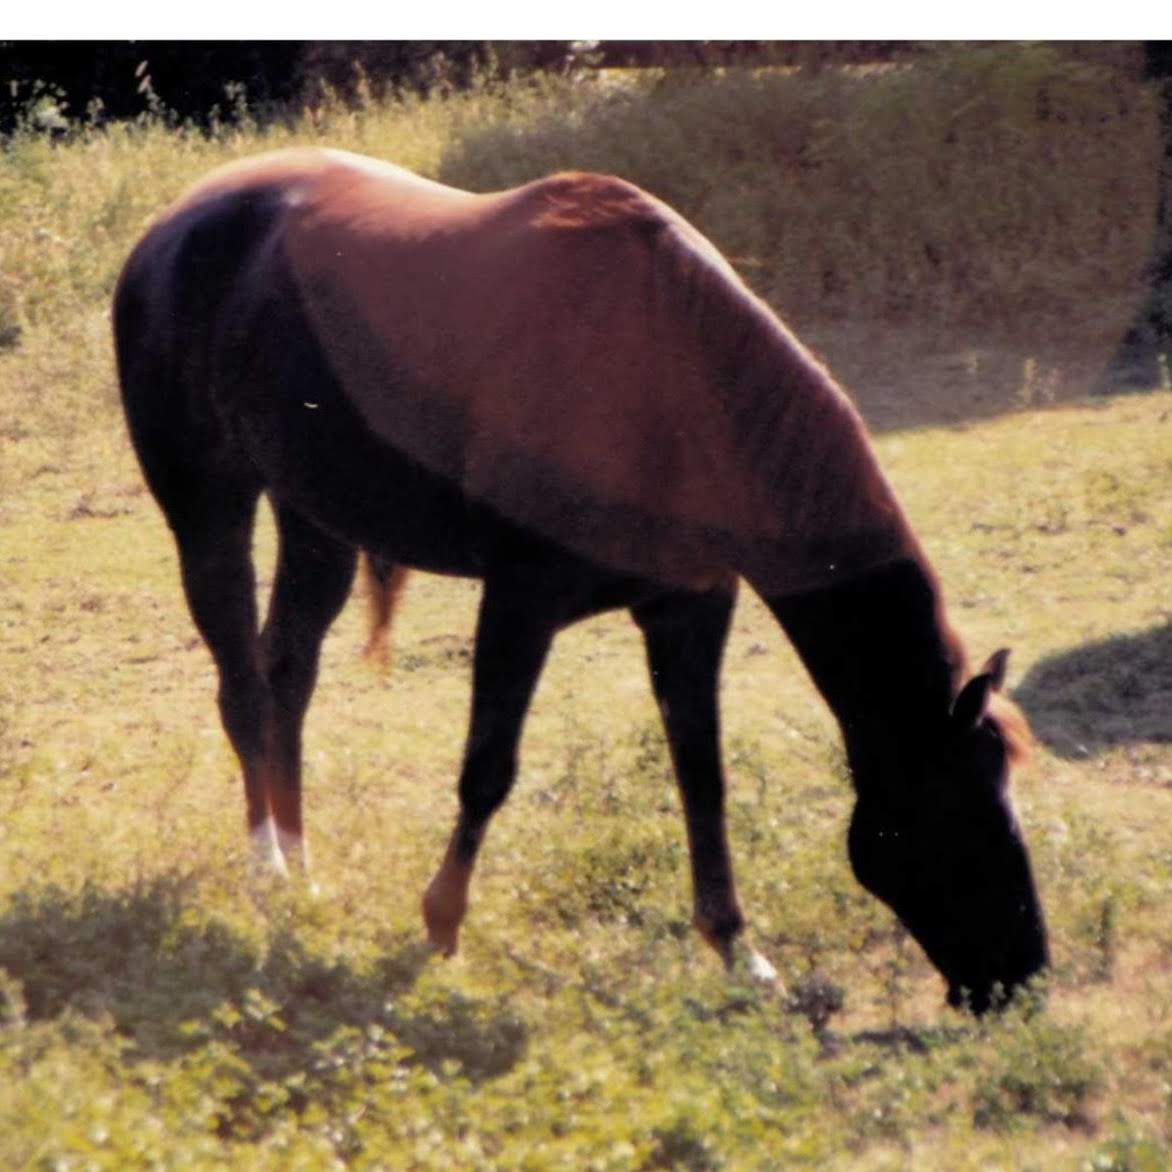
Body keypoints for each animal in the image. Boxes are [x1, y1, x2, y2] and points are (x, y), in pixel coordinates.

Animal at [113, 147, 1047, 1014]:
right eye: (964, 818)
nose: (1022, 982)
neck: (671, 376)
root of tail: (170, 229)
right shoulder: (519, 604)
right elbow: (488, 770)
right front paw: (441, 926)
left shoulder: (689, 610)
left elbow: (702, 780)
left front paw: (738, 951)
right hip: (209, 510)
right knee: (243, 690)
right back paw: (269, 871)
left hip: (317, 522)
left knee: (287, 678)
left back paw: (303, 870)